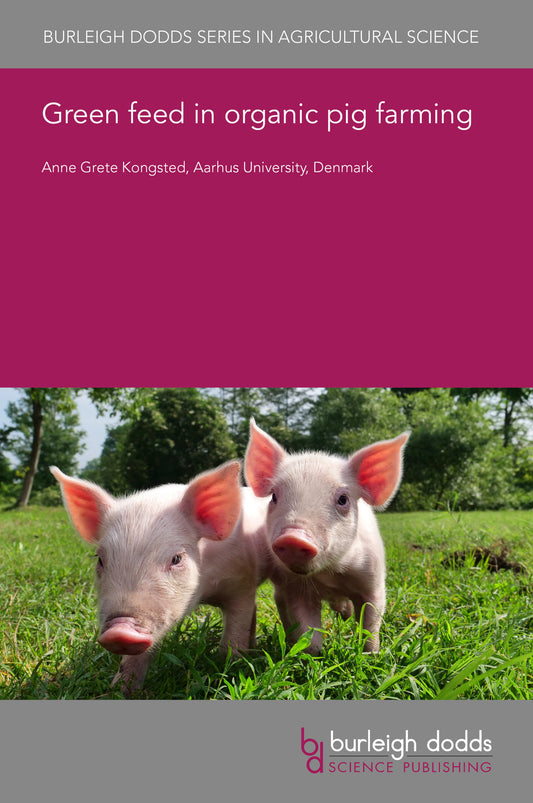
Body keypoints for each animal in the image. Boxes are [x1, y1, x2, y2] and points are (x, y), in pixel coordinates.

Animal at [51, 461, 271, 693]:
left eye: (176, 558)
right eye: (100, 559)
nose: (119, 630)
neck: (204, 592)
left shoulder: (242, 584)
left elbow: (233, 636)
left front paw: (231, 671)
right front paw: (120, 689)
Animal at [244, 420, 409, 654]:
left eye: (343, 499)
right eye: (274, 496)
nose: (293, 537)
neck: (330, 575)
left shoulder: (373, 580)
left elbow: (370, 621)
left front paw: (371, 654)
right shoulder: (295, 588)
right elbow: (308, 631)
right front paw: (311, 654)